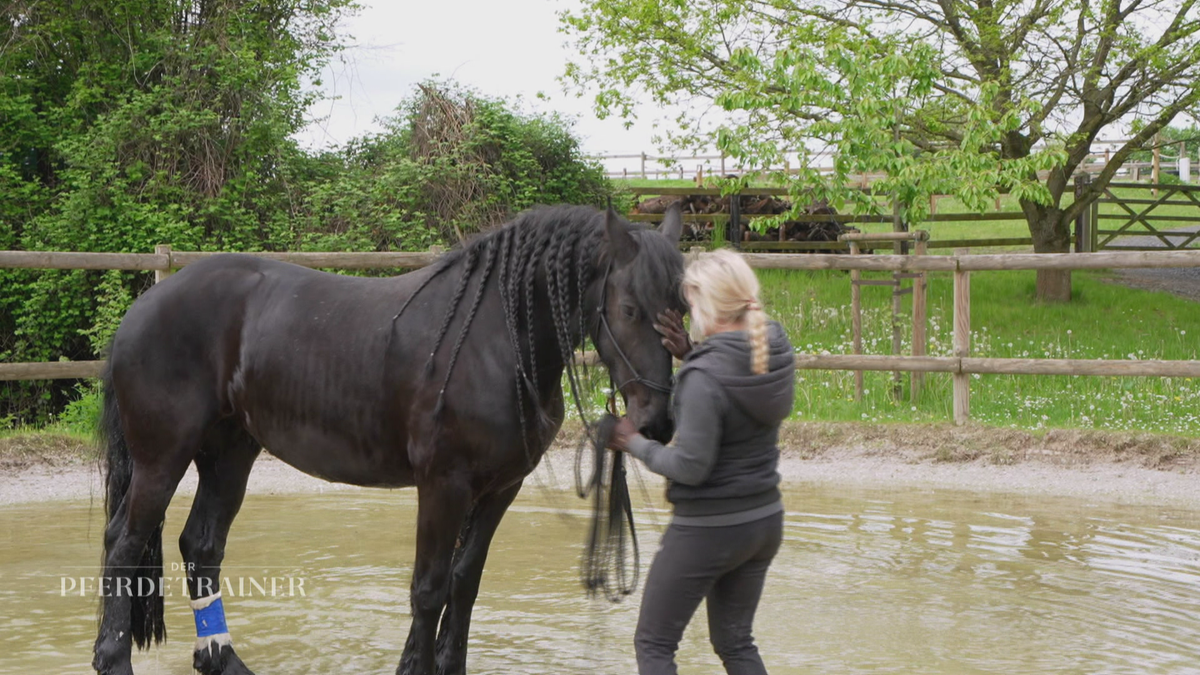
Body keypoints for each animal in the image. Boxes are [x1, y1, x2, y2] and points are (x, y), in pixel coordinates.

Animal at [93, 205, 686, 672]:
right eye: (629, 309)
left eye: (680, 306)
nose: (659, 420)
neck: (494, 340)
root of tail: (139, 312)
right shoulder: (444, 485)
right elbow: (429, 589)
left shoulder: (501, 488)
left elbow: (464, 583)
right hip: (163, 456)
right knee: (124, 544)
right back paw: (114, 659)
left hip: (229, 451)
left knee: (201, 545)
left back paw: (223, 660)